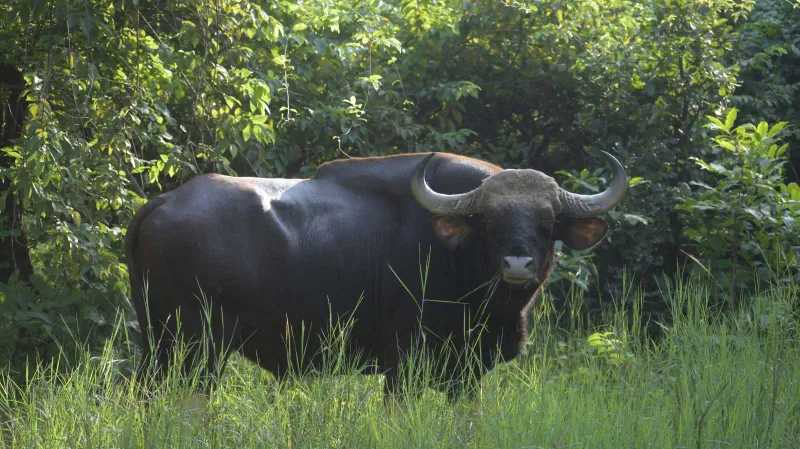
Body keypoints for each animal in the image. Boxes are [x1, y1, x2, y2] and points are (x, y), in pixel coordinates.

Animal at [125, 151, 626, 397]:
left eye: (548, 222)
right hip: (195, 349)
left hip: (159, 348)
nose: (518, 265)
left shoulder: (465, 374)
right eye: (488, 220)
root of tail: (164, 202)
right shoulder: (402, 363)